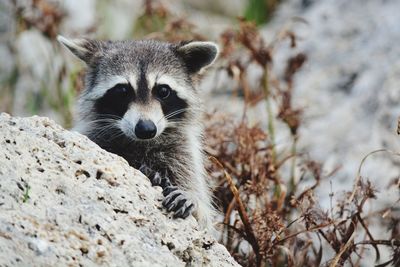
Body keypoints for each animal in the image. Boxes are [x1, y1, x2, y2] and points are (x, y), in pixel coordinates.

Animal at [57, 36, 219, 232]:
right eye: (122, 91)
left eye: (163, 91)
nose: (146, 129)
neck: (141, 144)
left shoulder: (183, 154)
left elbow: (203, 216)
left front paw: (193, 199)